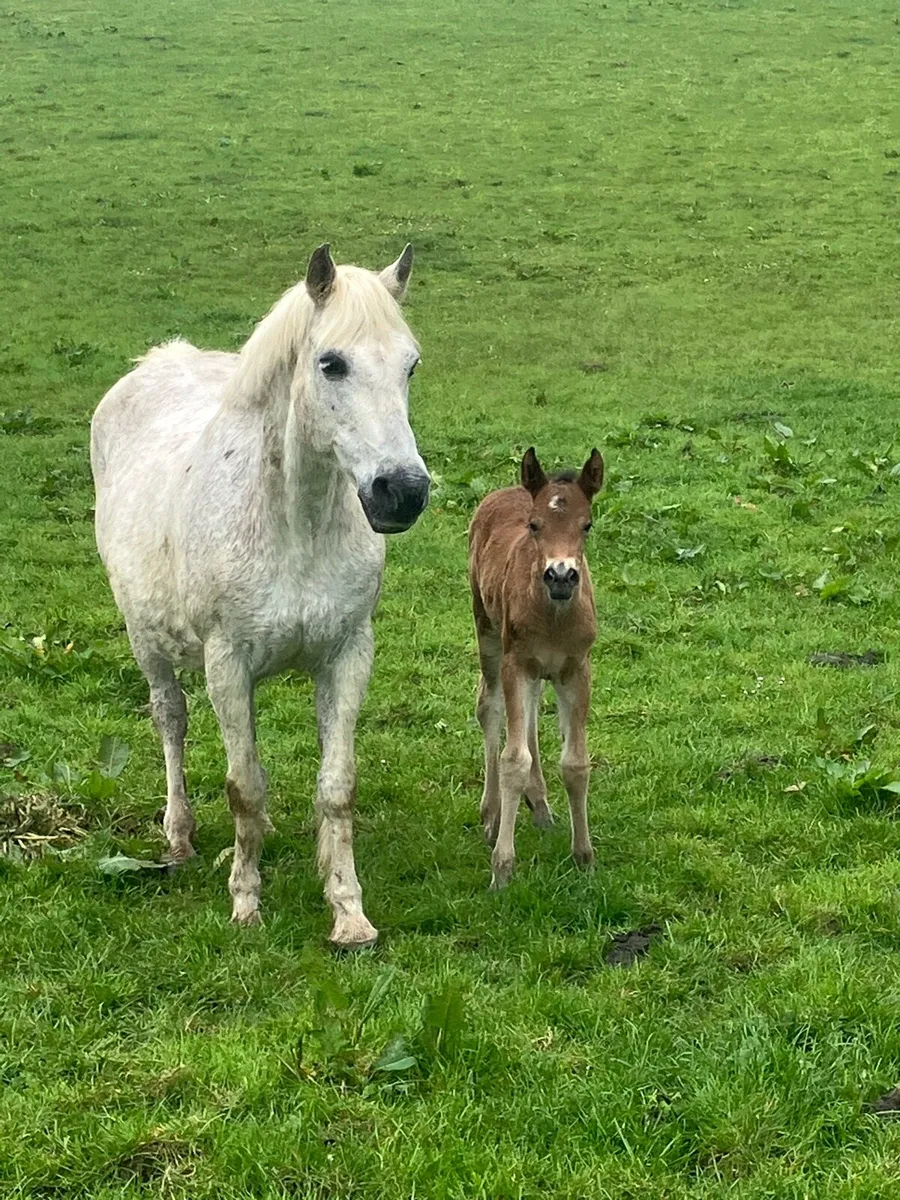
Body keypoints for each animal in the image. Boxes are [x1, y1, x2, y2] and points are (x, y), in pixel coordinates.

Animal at [90, 244, 429, 947]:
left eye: (411, 364)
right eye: (332, 363)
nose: (402, 492)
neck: (293, 523)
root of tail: (153, 365)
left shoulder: (348, 655)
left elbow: (335, 787)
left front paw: (349, 913)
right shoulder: (227, 661)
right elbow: (243, 785)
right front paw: (245, 902)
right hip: (147, 642)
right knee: (171, 720)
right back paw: (180, 835)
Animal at [468, 447, 604, 889]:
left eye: (587, 525)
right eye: (534, 525)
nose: (561, 575)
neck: (555, 617)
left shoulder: (577, 669)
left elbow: (575, 762)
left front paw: (584, 857)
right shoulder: (517, 663)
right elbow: (513, 759)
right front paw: (502, 868)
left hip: (541, 671)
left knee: (527, 719)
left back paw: (540, 804)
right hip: (487, 630)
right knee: (490, 708)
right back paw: (492, 814)